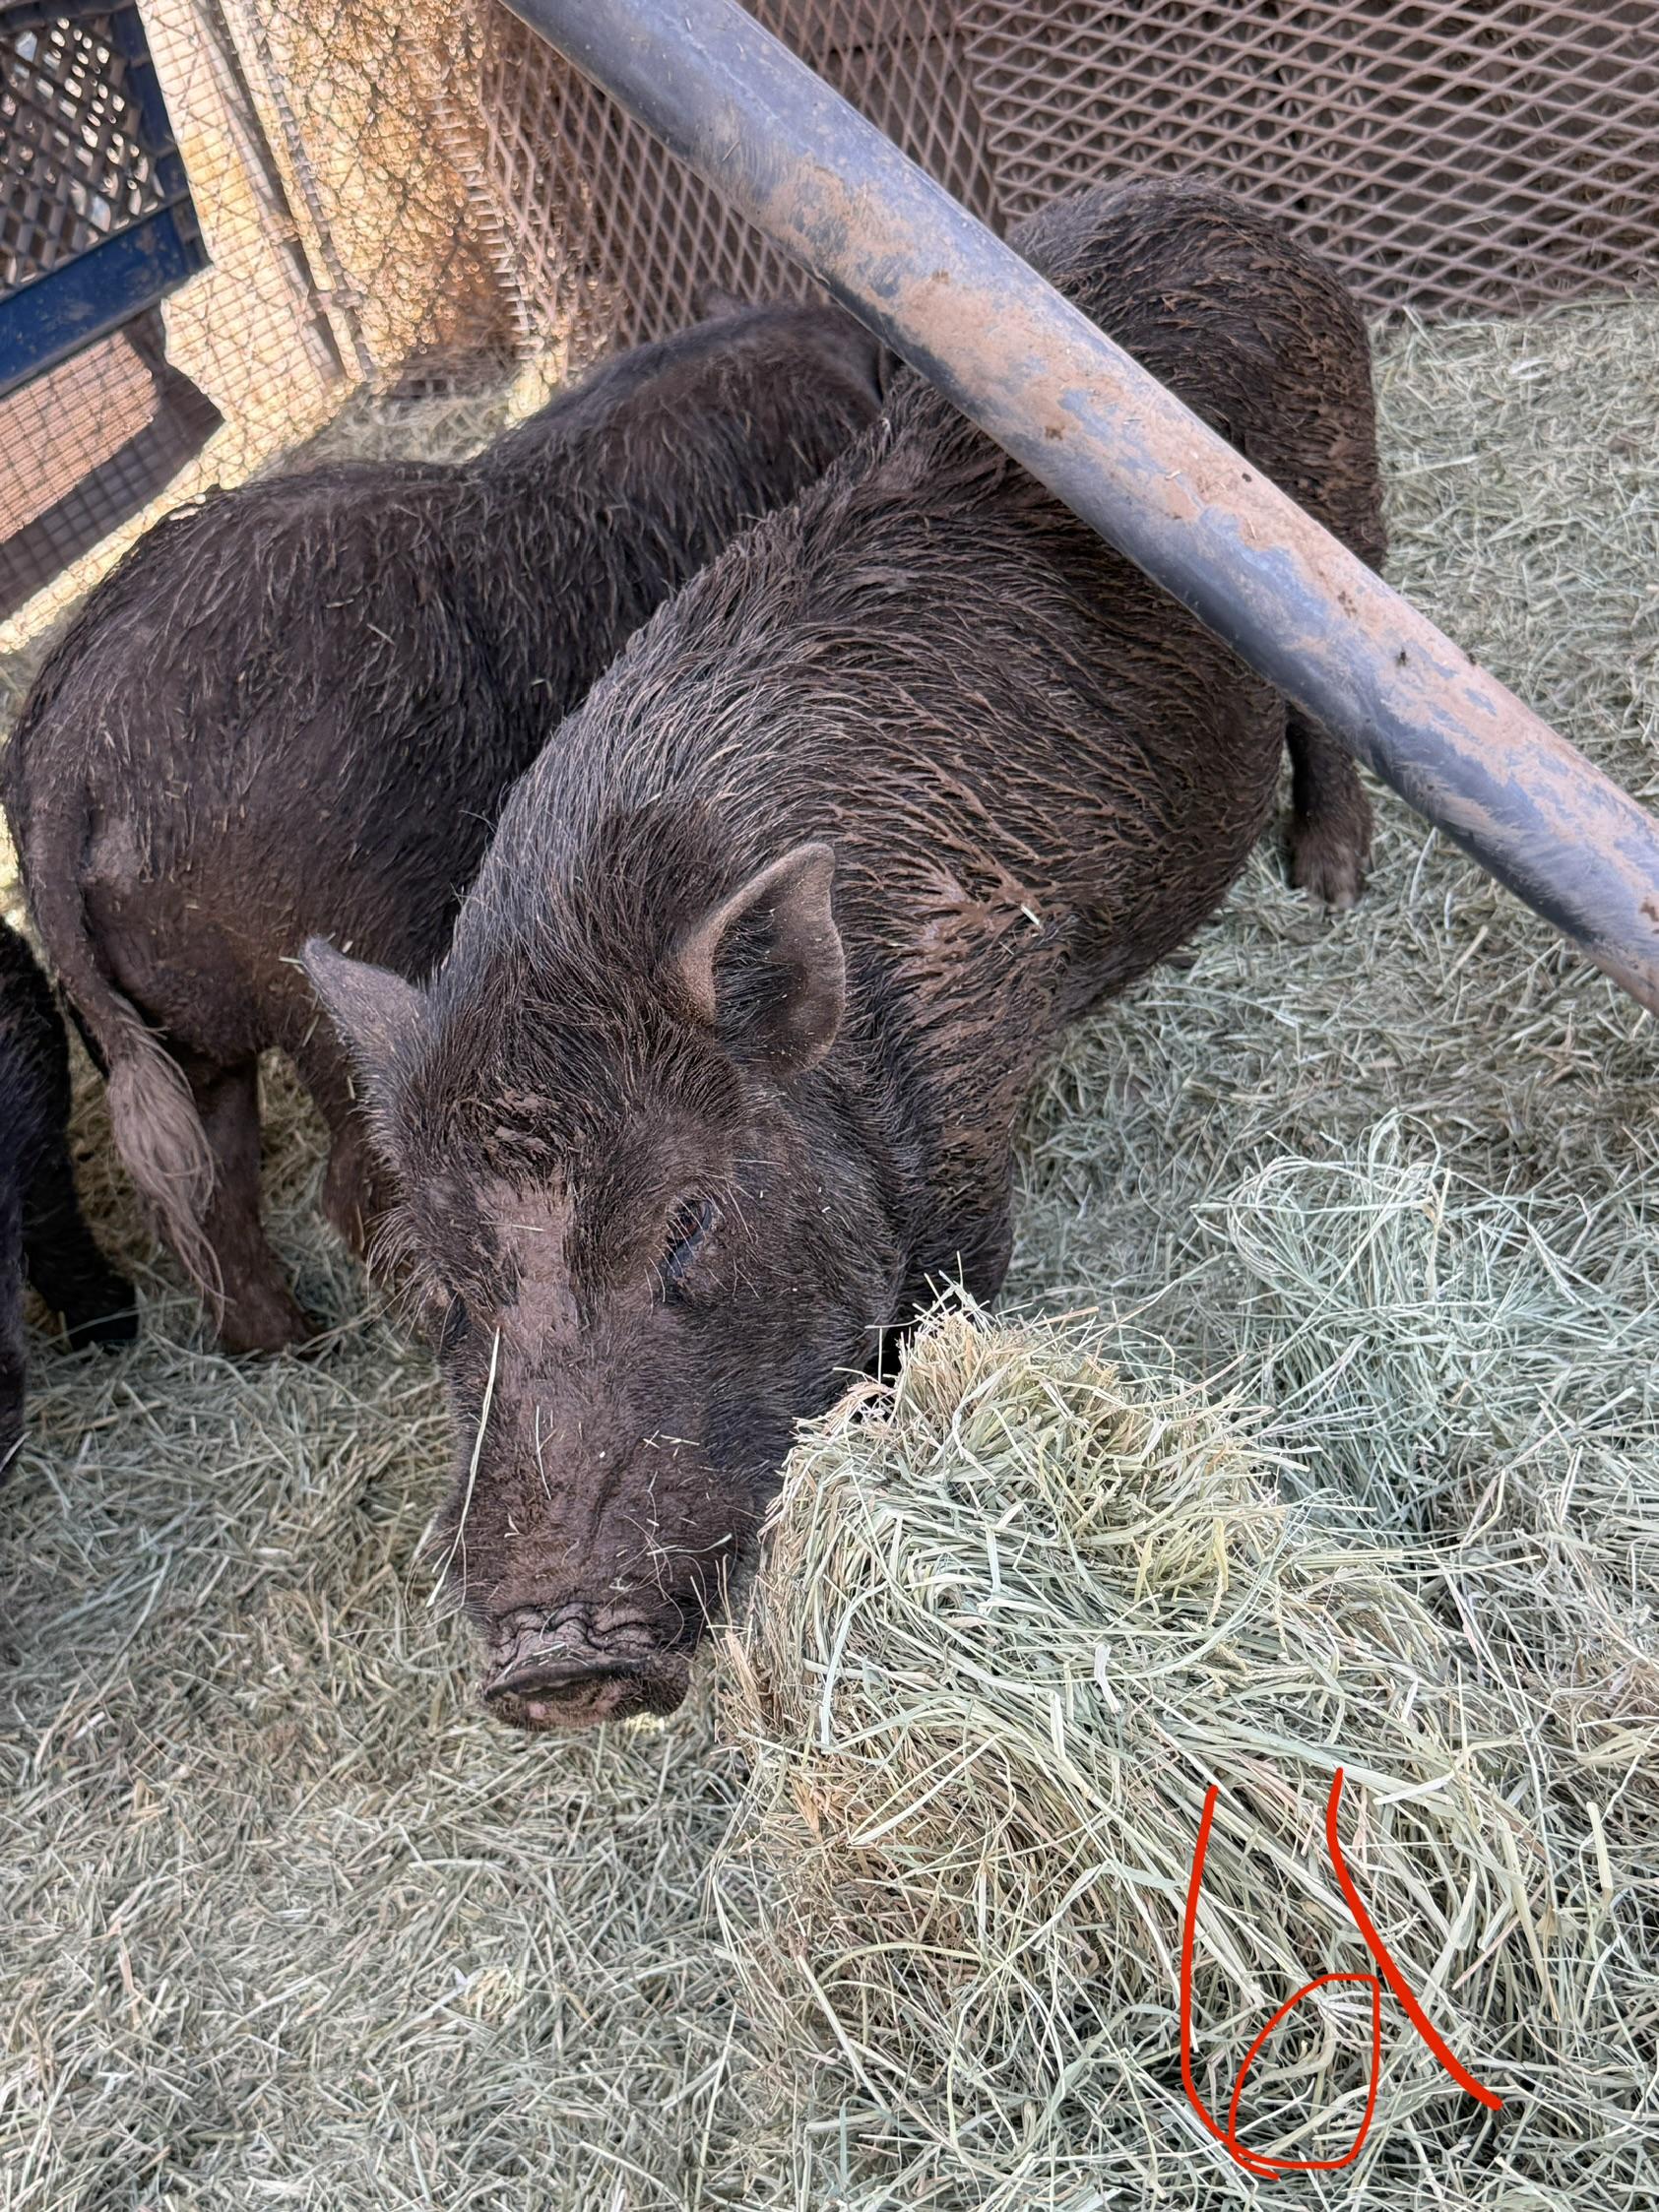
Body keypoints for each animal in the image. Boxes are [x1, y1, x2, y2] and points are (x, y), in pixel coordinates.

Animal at [4, 298, 886, 1355]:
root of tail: (67, 765)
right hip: (326, 980)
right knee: (344, 1186)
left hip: (173, 1032)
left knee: (212, 1192)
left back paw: (295, 1342)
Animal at [302, 179, 1385, 1731]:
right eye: (438, 1276)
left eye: (689, 1221)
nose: (559, 1657)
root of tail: (1212, 203)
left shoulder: (978, 1055)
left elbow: (943, 1298)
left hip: (1343, 522)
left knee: (1330, 704)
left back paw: (1328, 888)